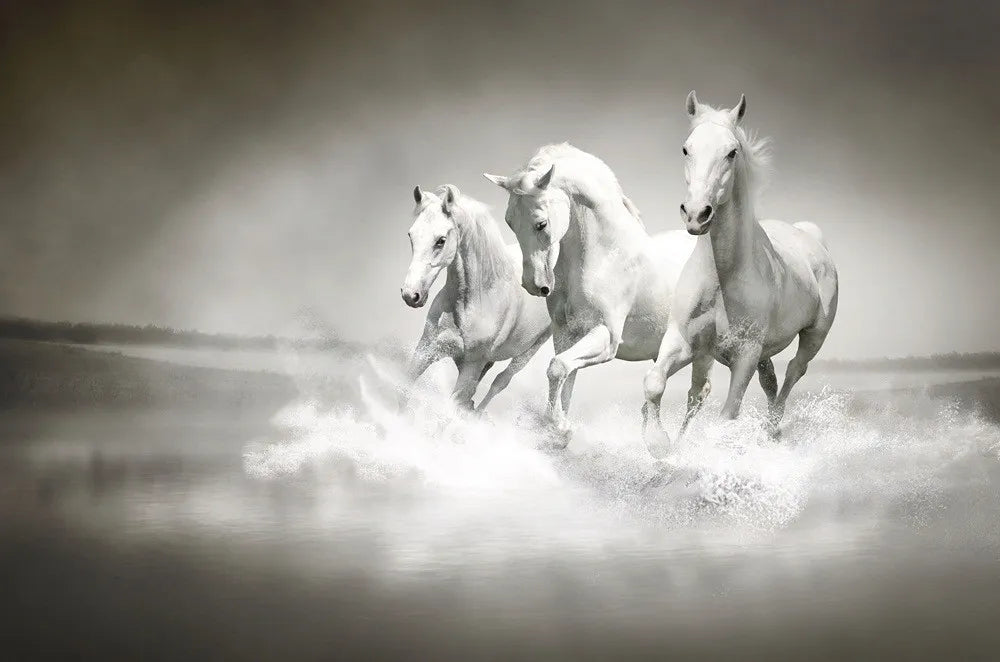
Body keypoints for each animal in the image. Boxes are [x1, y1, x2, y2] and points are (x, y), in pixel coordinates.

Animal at [400, 184, 552, 411]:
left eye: (441, 240)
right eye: (411, 235)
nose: (411, 295)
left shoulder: (471, 366)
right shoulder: (426, 350)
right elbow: (402, 393)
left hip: (530, 350)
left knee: (500, 382)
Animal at [484, 144, 698, 444]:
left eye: (541, 224)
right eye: (510, 222)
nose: (534, 285)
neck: (605, 257)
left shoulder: (605, 337)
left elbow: (557, 369)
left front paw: (560, 427)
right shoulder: (566, 335)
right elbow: (565, 378)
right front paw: (558, 430)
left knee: (698, 395)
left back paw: (673, 446)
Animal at [642, 92, 839, 453]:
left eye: (731, 152)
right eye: (686, 148)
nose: (696, 214)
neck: (722, 277)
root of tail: (812, 238)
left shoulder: (744, 355)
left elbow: (728, 414)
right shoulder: (684, 342)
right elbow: (655, 382)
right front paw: (660, 444)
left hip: (814, 336)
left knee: (794, 372)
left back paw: (772, 429)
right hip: (751, 353)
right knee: (764, 381)